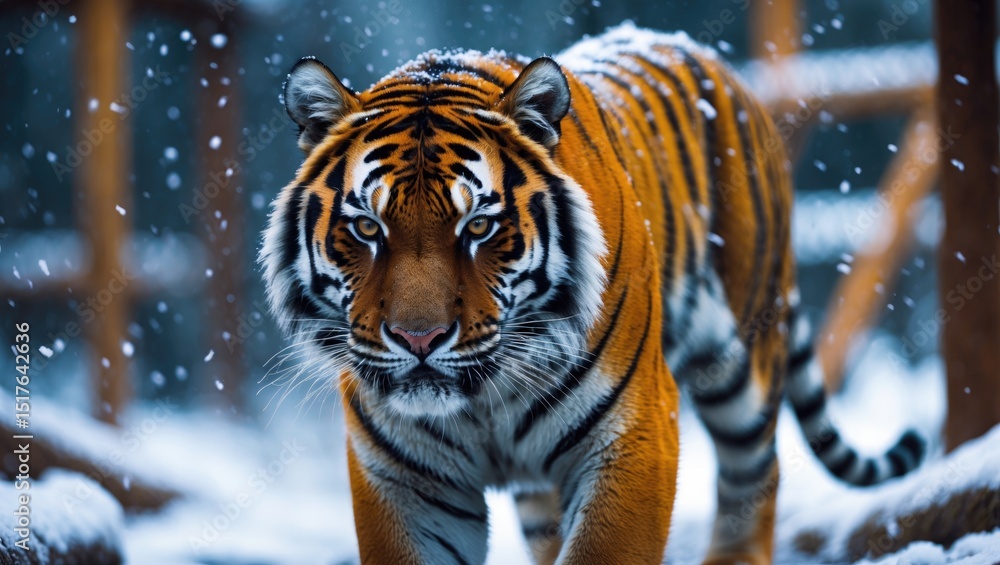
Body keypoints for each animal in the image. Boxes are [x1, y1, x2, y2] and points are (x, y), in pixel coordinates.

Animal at [261, 22, 924, 565]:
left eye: (478, 226)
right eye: (367, 228)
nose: (416, 338)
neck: (483, 404)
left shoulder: (634, 433)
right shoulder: (401, 479)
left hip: (743, 357)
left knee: (754, 474)